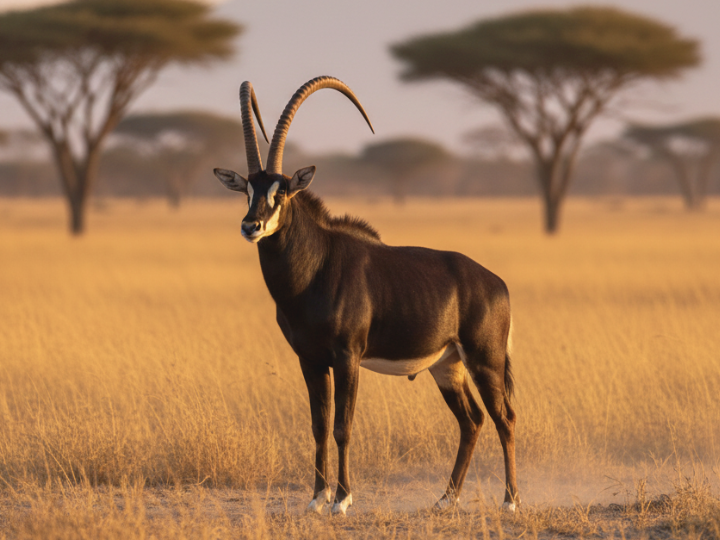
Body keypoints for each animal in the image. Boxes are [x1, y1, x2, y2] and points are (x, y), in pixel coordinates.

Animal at [214, 76, 519, 515]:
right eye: (247, 190)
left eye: (282, 191)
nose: (251, 226)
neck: (316, 268)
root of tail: (497, 284)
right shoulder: (310, 360)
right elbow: (319, 426)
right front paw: (316, 499)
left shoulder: (347, 357)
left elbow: (343, 426)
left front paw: (342, 500)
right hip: (447, 366)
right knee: (472, 420)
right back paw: (446, 499)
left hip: (485, 361)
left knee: (503, 417)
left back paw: (510, 501)